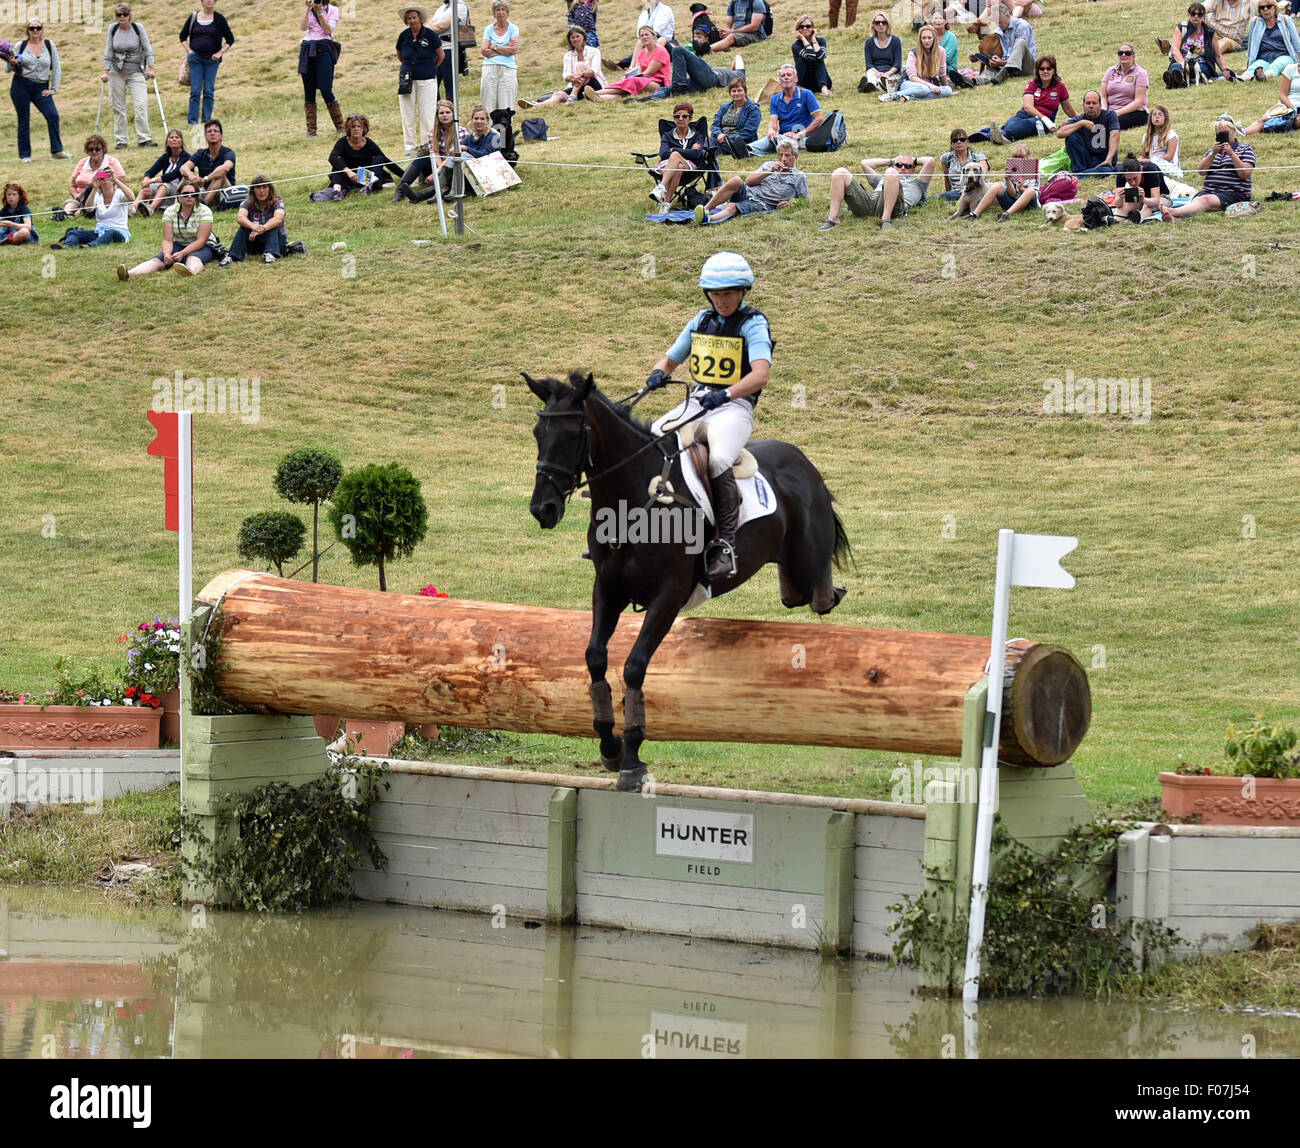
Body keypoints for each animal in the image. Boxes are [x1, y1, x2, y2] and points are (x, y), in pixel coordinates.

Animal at [527, 371, 852, 795]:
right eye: (538, 432)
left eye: (570, 434)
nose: (543, 509)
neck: (632, 500)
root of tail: (803, 461)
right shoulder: (609, 589)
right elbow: (595, 658)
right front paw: (610, 745)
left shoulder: (669, 595)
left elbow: (634, 667)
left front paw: (632, 758)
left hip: (803, 564)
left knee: (814, 585)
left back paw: (828, 592)